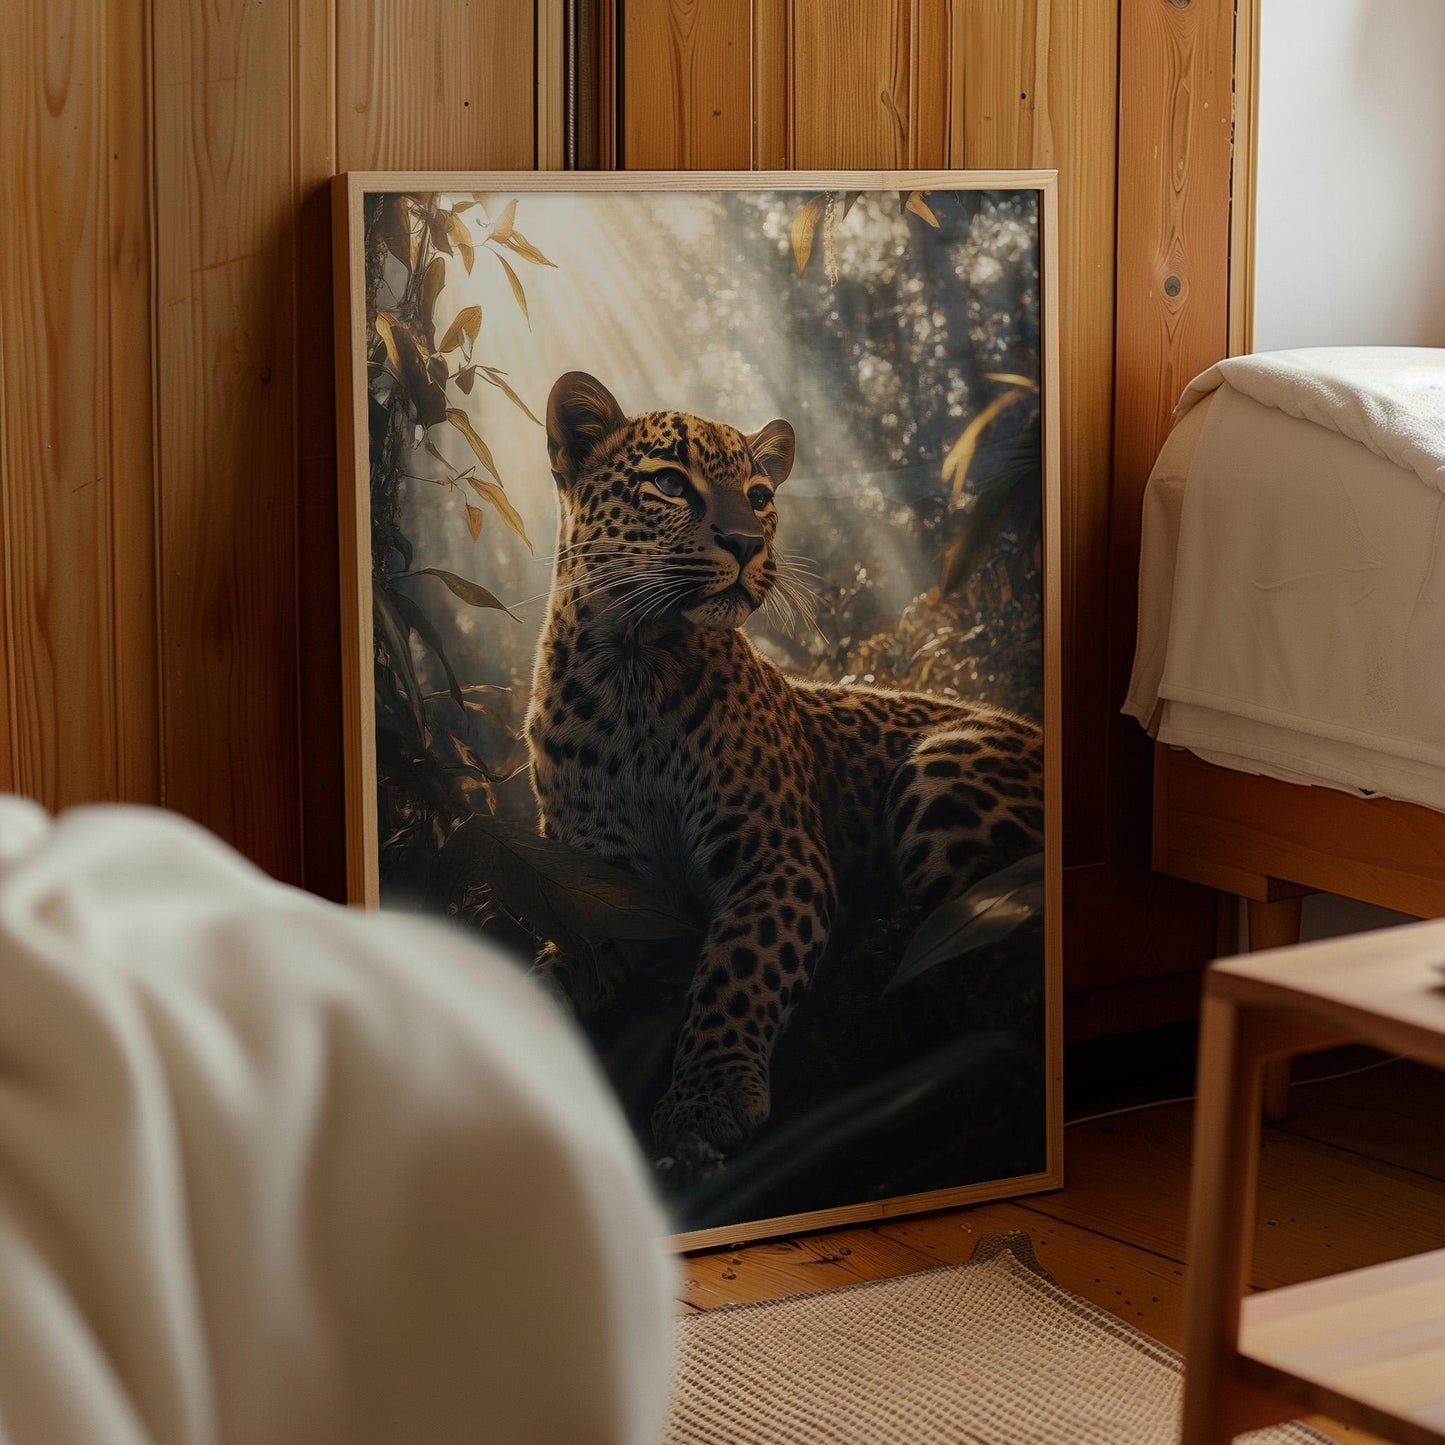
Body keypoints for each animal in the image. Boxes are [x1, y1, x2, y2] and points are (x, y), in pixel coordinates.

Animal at [525, 371, 1044, 1167]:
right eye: (669, 483)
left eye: (760, 494)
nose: (745, 542)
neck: (631, 671)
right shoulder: (599, 892)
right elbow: (536, 979)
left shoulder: (775, 854)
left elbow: (739, 968)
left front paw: (705, 1099)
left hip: (940, 769)